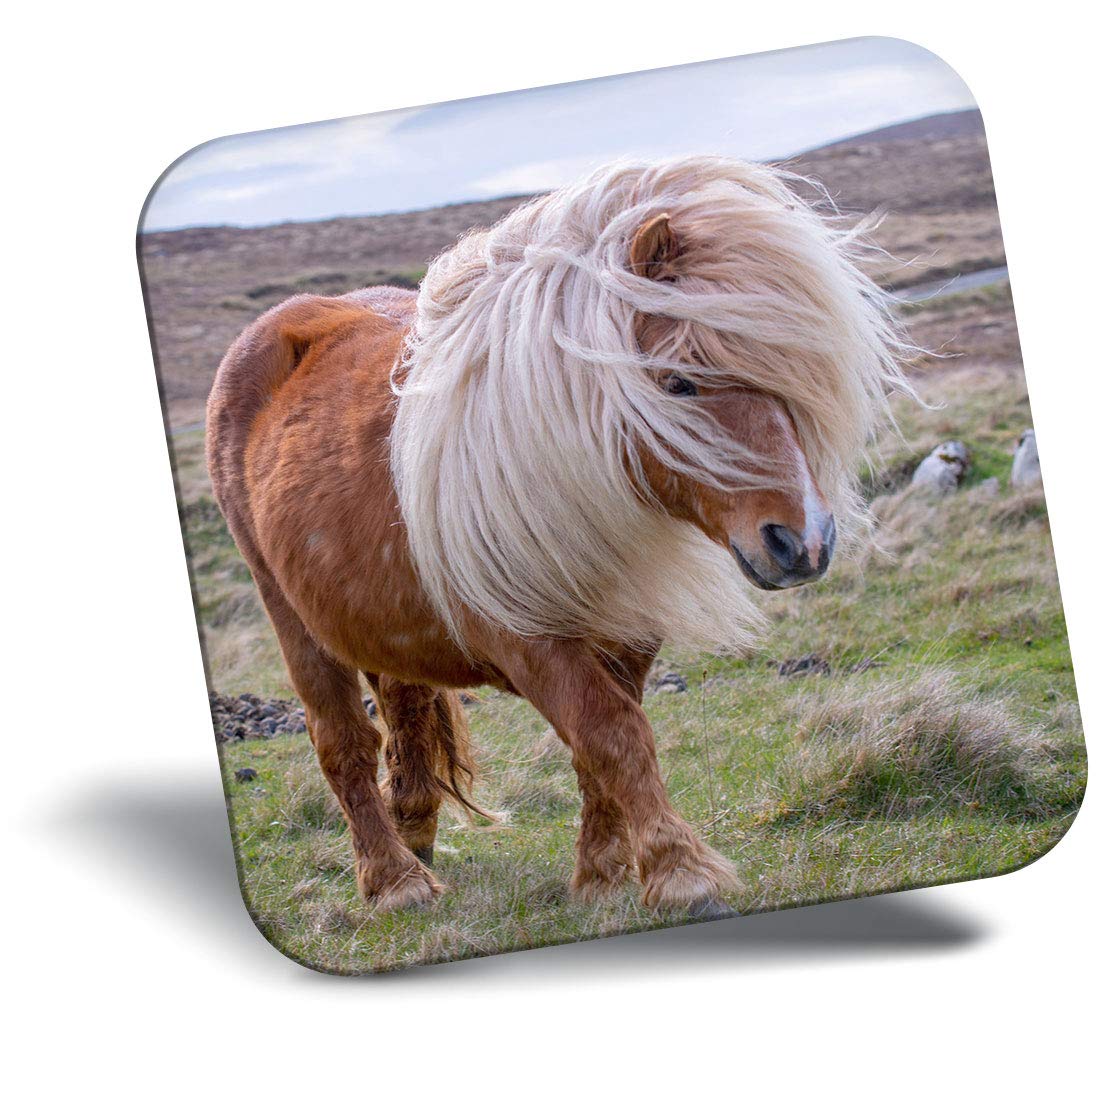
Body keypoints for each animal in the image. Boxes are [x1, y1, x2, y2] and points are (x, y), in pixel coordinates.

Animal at [207, 156, 907, 915]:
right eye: (678, 382)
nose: (802, 542)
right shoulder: (527, 637)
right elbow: (612, 734)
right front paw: (680, 873)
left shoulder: (627, 628)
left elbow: (600, 747)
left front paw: (602, 873)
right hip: (291, 615)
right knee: (342, 740)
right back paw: (395, 882)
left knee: (405, 705)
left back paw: (415, 831)